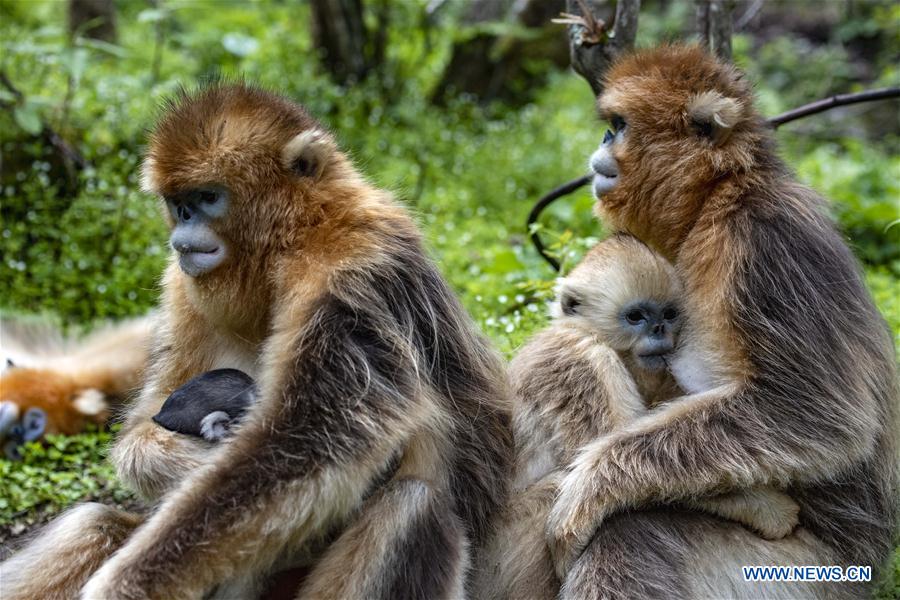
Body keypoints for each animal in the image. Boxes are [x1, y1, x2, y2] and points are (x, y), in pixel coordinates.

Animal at [0, 82, 512, 600]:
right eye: (178, 203)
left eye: (207, 197)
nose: (183, 230)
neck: (294, 239)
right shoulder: (182, 286)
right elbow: (143, 427)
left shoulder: (351, 267)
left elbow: (308, 441)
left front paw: (125, 586)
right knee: (94, 522)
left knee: (411, 504)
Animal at [474, 234, 800, 600]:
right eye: (635, 317)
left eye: (668, 314)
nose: (659, 328)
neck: (587, 333)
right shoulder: (586, 361)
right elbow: (603, 468)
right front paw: (768, 509)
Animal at [544, 45, 898, 599]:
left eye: (619, 127)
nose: (602, 141)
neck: (718, 196)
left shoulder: (760, 241)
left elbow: (818, 417)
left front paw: (586, 486)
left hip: (801, 573)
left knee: (628, 532)